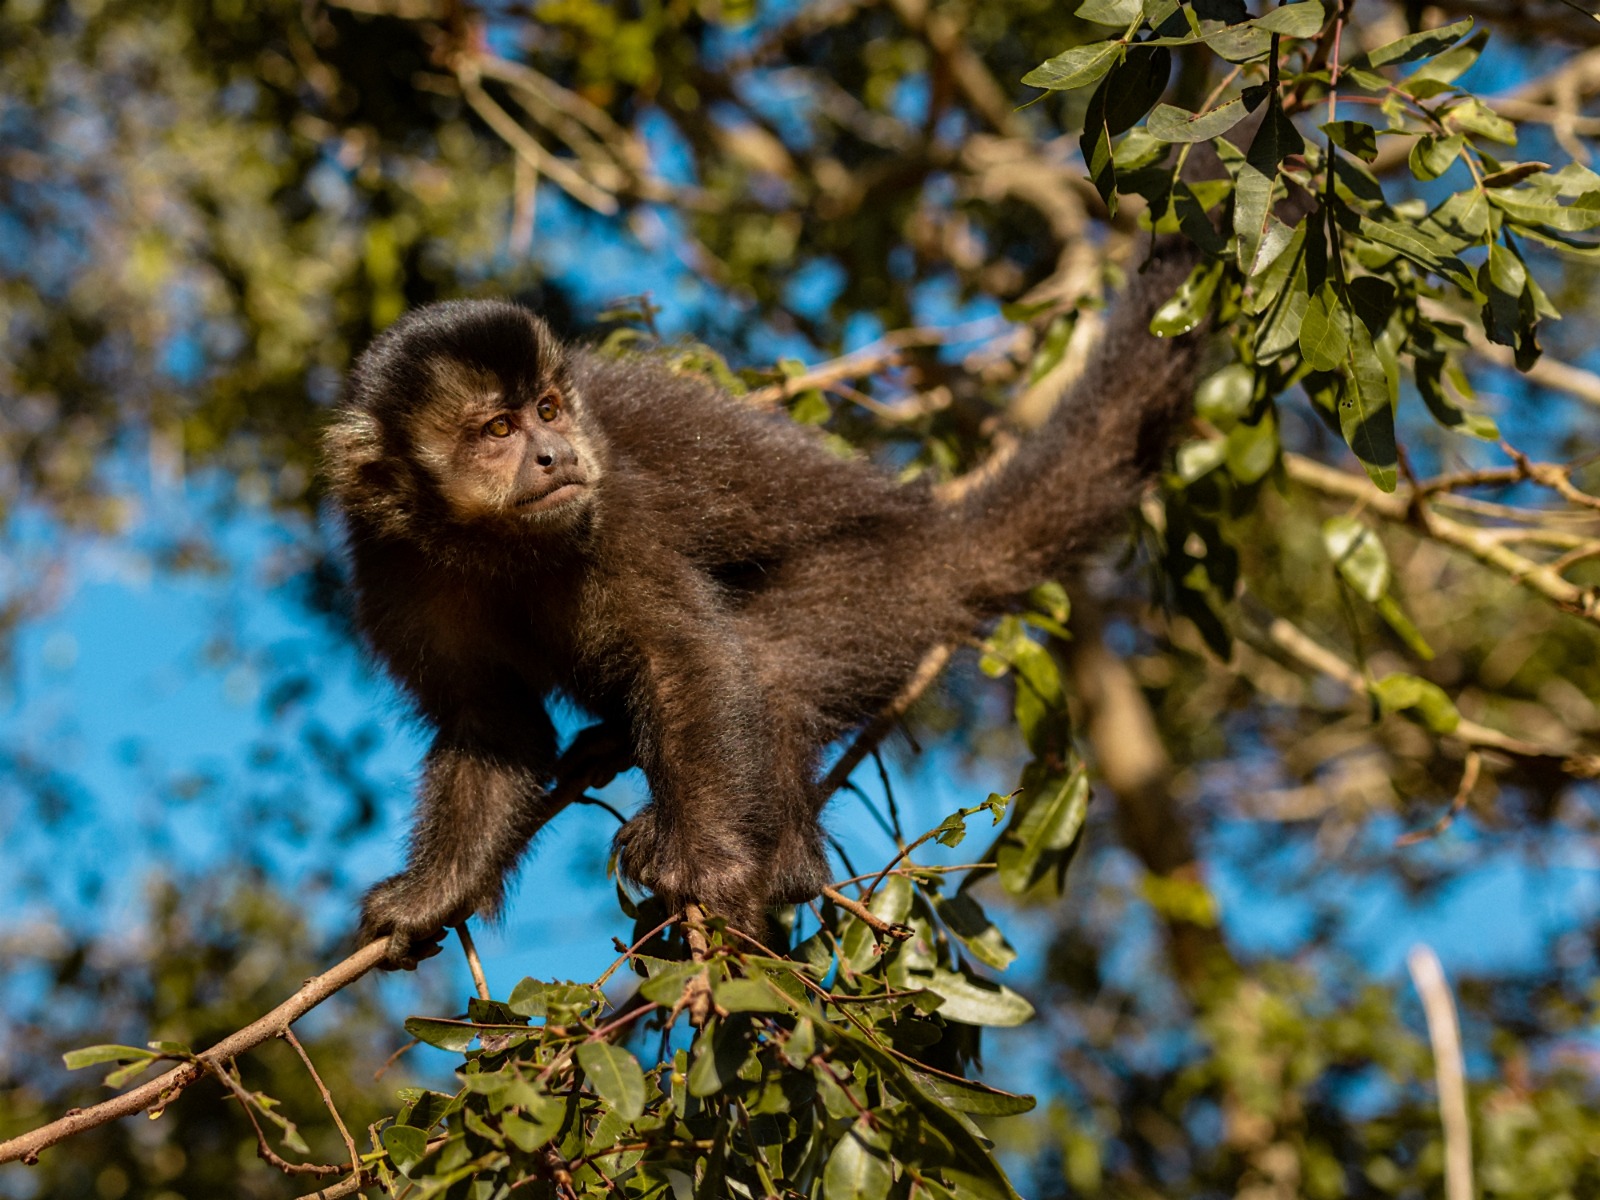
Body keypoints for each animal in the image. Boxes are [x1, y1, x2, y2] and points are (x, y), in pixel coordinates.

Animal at [324, 240, 1203, 966]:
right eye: (497, 430)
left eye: (546, 410)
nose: (554, 452)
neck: (494, 543)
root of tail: (931, 526)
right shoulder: (391, 564)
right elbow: (493, 722)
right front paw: (433, 893)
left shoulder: (612, 515)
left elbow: (687, 658)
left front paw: (709, 865)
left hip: (880, 581)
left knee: (768, 662)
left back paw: (780, 864)